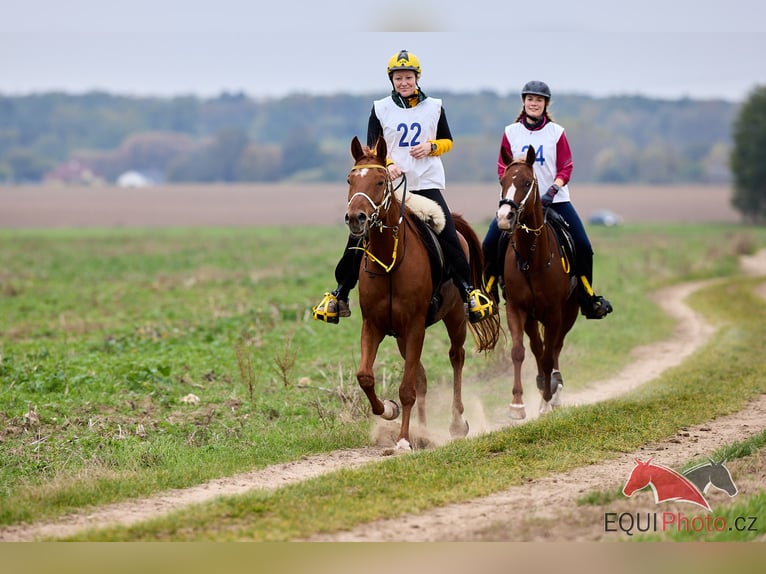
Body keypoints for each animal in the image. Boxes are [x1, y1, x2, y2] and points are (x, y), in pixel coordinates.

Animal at [344, 136, 500, 454]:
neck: (389, 262)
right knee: (422, 377)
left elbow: (407, 389)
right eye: (350, 180)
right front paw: (389, 410)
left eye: (380, 181)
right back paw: (425, 432)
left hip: (454, 318)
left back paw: (456, 424)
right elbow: (366, 376)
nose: (356, 218)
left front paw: (404, 440)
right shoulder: (374, 325)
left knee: (456, 358)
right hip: (402, 336)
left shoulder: (416, 326)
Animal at [498, 146, 576, 420]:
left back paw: (554, 390)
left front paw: (545, 401)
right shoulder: (516, 309)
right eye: (502, 181)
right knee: (538, 347)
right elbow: (519, 352)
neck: (530, 259)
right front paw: (516, 405)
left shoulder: (554, 313)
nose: (504, 217)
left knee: (555, 348)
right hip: (532, 318)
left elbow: (548, 355)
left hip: (568, 313)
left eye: (526, 182)